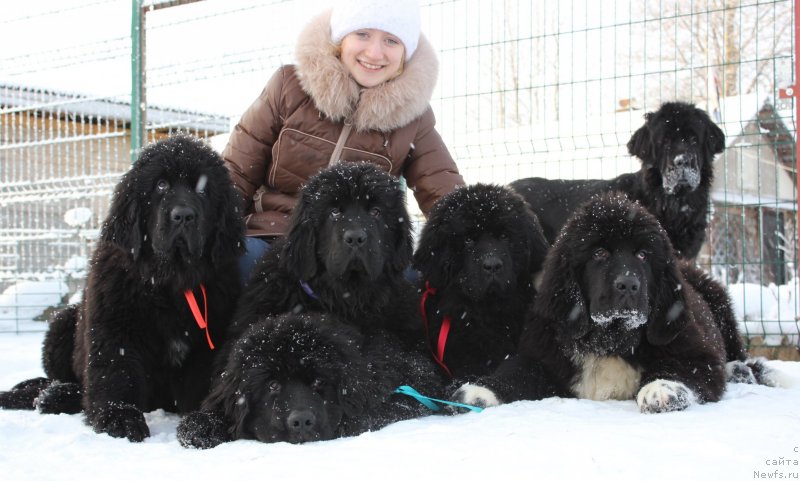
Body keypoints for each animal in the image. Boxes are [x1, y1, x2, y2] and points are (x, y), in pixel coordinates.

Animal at [0, 134, 244, 438]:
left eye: (203, 190)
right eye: (161, 185)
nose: (183, 215)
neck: (170, 280)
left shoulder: (206, 343)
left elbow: (205, 383)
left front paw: (206, 420)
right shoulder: (114, 325)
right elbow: (116, 373)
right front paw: (119, 419)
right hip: (63, 322)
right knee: (61, 380)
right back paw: (57, 395)